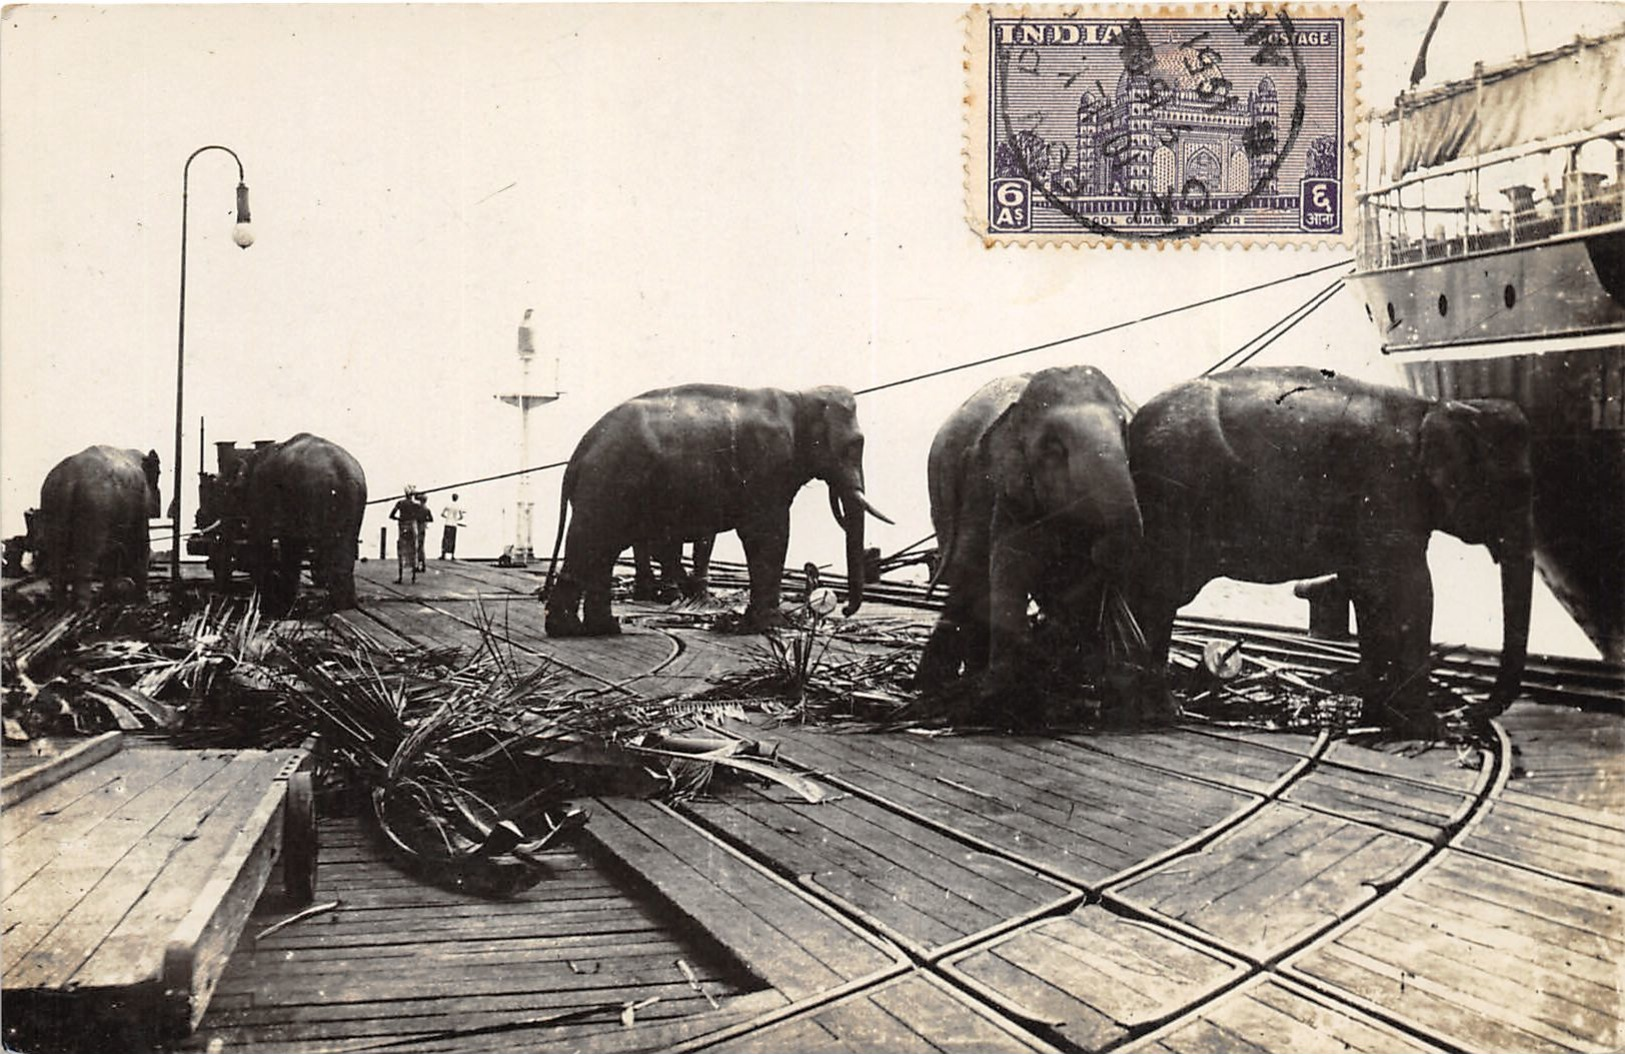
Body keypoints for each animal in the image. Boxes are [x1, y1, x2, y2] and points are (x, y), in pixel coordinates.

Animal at [38, 444, 161, 607]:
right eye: (159, 474)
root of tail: (68, 480)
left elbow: (113, 551)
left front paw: (108, 596)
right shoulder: (139, 506)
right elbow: (139, 544)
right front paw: (145, 599)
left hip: (51, 508)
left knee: (56, 554)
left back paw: (60, 603)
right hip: (93, 509)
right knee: (86, 556)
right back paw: (83, 606)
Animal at [216, 428, 365, 607]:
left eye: (227, 490)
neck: (253, 456)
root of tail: (343, 474)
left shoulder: (261, 495)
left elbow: (264, 539)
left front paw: (270, 598)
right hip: (354, 504)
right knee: (344, 543)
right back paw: (344, 603)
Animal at [546, 384, 890, 636]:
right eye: (855, 444)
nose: (843, 608)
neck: (799, 396)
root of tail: (577, 455)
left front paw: (753, 622)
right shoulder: (766, 466)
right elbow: (770, 533)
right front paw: (771, 625)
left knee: (603, 551)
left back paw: (602, 628)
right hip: (606, 485)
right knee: (590, 544)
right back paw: (570, 630)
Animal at [916, 365, 1144, 717]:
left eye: (1124, 429)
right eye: (1053, 447)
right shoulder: (1008, 489)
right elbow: (1011, 568)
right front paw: (1002, 697)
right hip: (943, 494)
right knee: (968, 576)